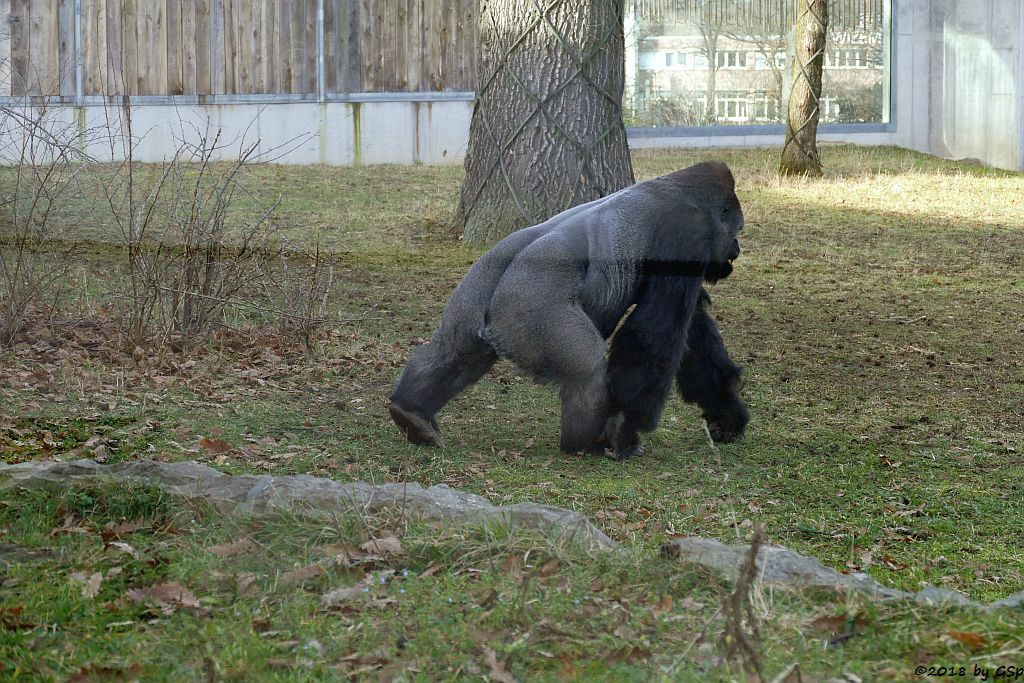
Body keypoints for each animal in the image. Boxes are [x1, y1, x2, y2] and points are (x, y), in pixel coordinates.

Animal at [387, 160, 749, 458]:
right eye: (737, 229)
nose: (736, 248)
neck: (686, 192)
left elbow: (694, 335)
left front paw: (726, 414)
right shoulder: (688, 236)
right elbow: (653, 337)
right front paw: (627, 424)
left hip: (478, 285)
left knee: (455, 352)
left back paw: (412, 414)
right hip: (529, 307)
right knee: (587, 370)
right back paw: (587, 443)